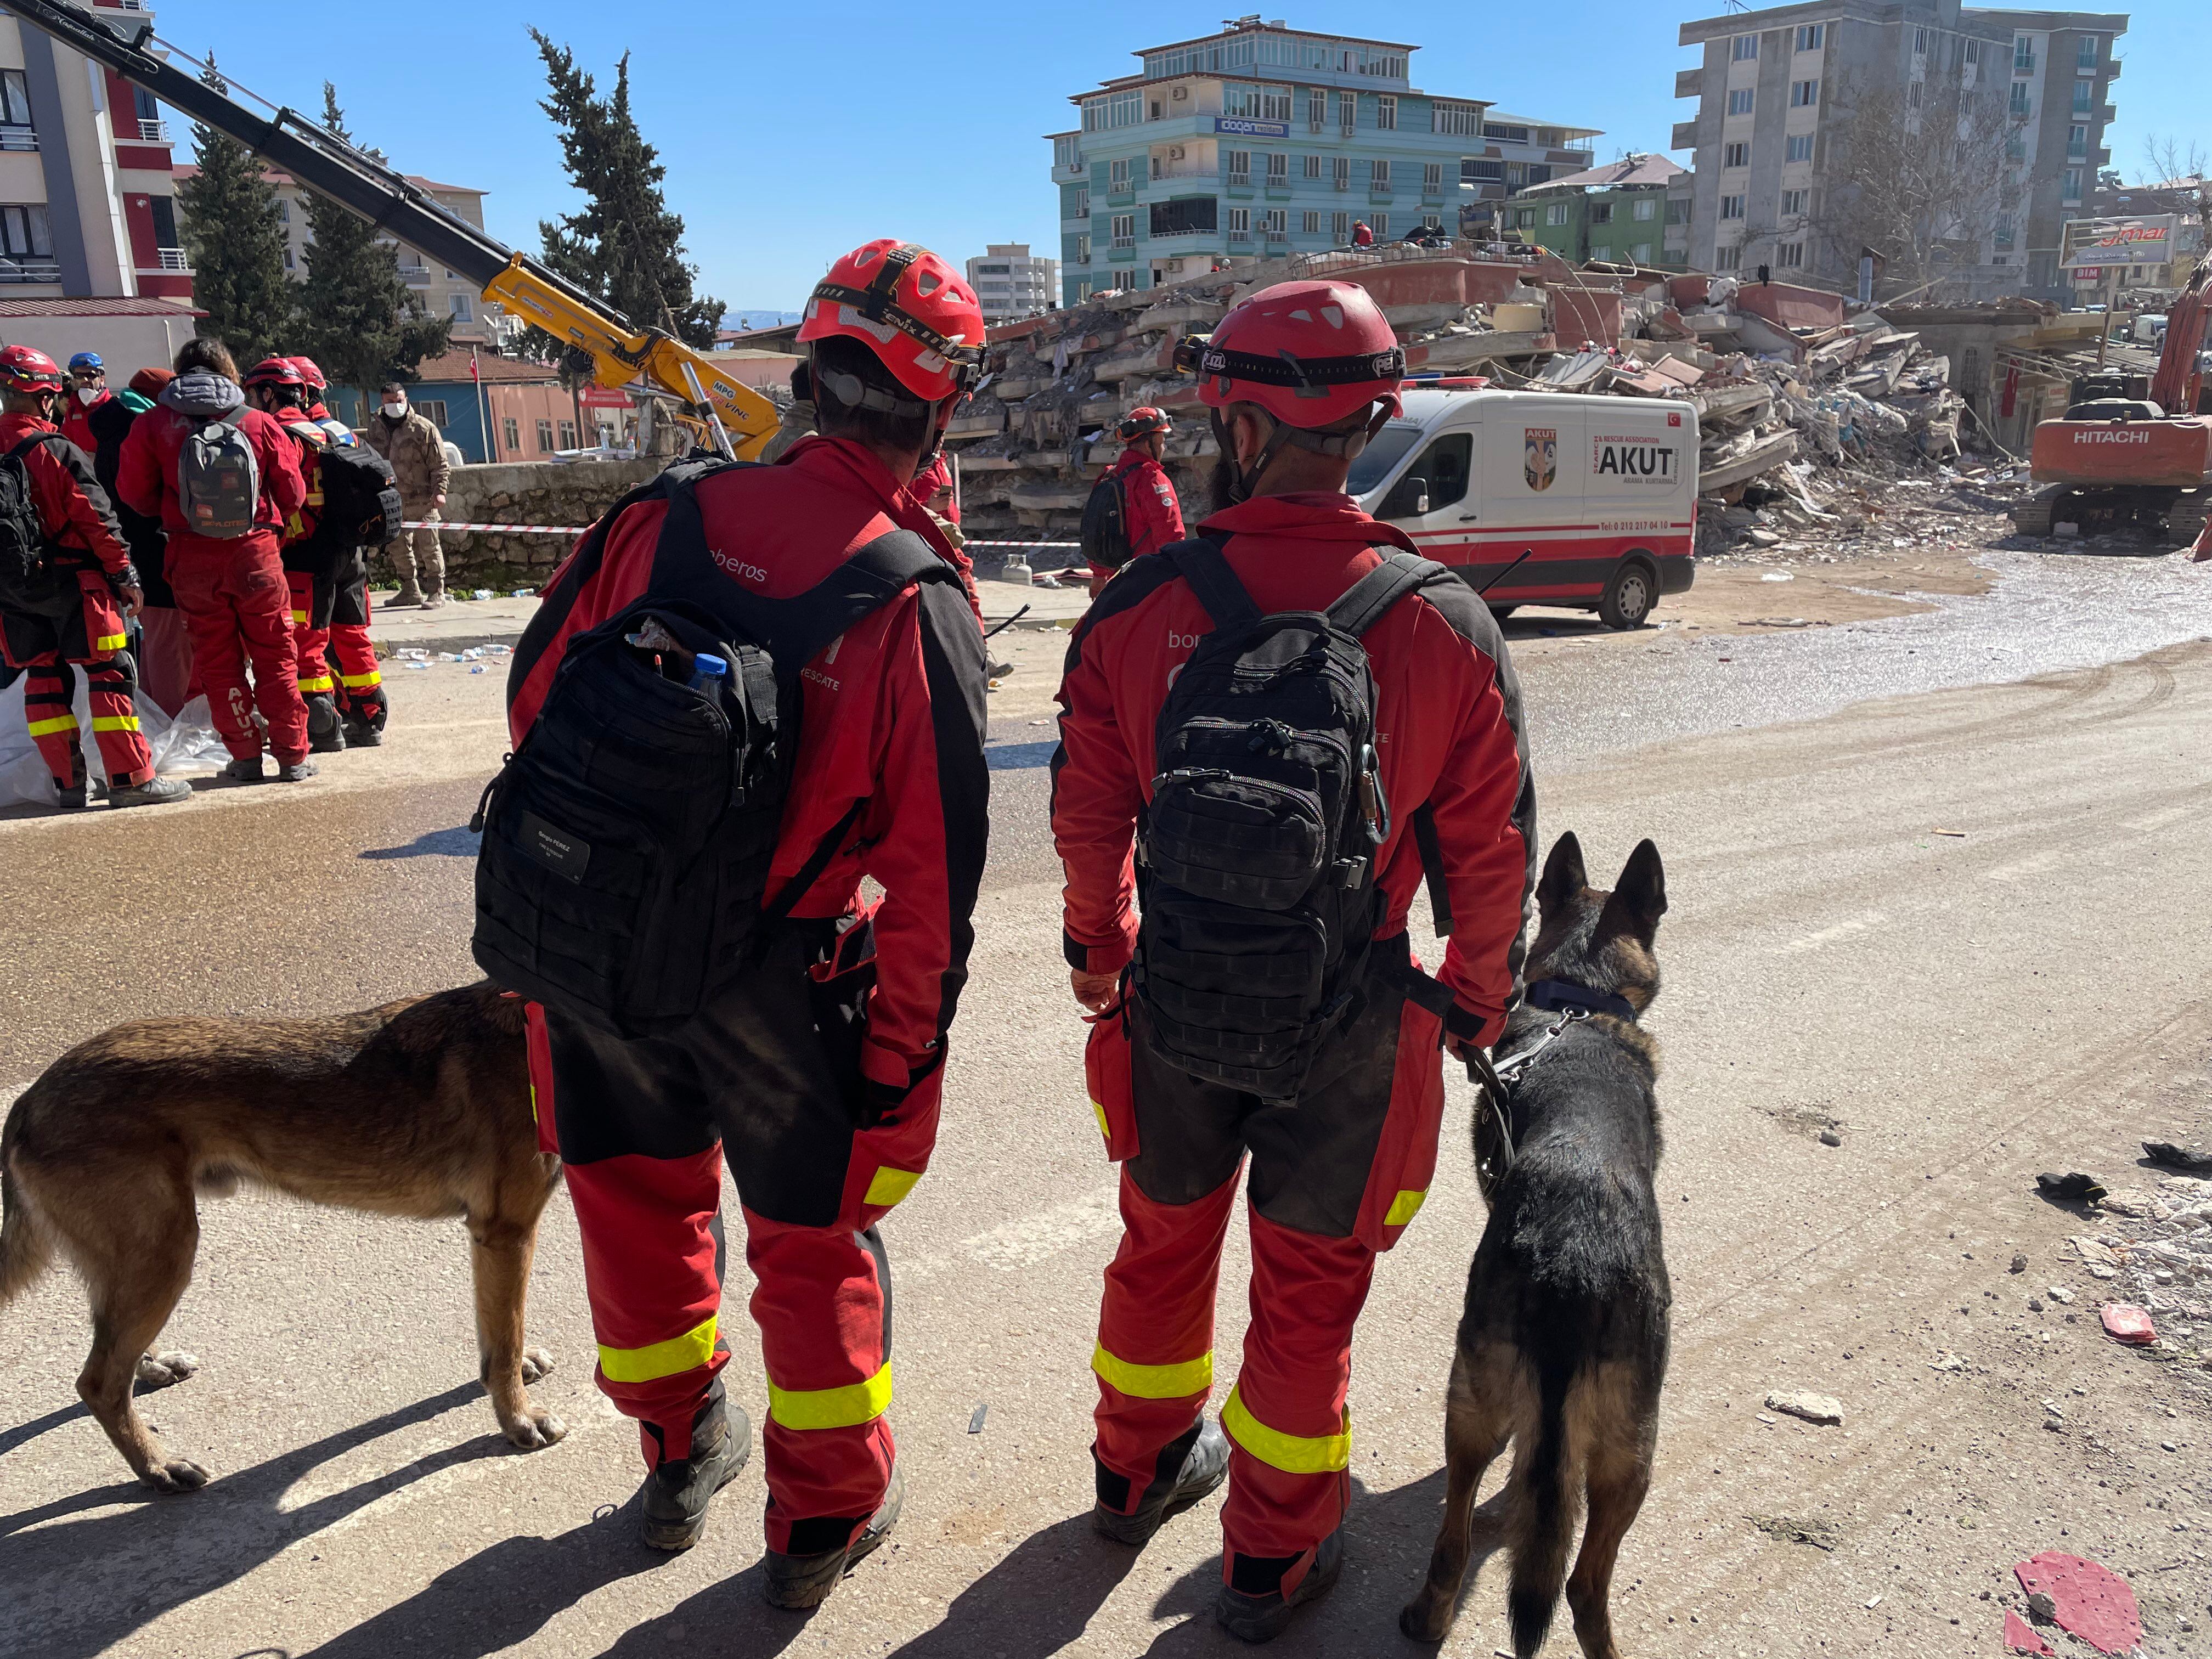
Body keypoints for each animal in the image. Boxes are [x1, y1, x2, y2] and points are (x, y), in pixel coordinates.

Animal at [0, 982, 566, 1504]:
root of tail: (29, 1100)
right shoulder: (507, 1232)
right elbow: (505, 1338)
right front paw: (517, 1419)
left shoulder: (493, 1241)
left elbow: (499, 1334)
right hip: (165, 1252)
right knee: (98, 1383)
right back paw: (157, 1467)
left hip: (140, 1259)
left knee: (112, 1347)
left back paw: (152, 1367)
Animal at [1407, 836, 1663, 1659]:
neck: (1579, 1002)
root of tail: (1572, 1256)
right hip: (1626, 1449)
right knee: (1579, 1583)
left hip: (1487, 1408)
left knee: (1470, 1537)